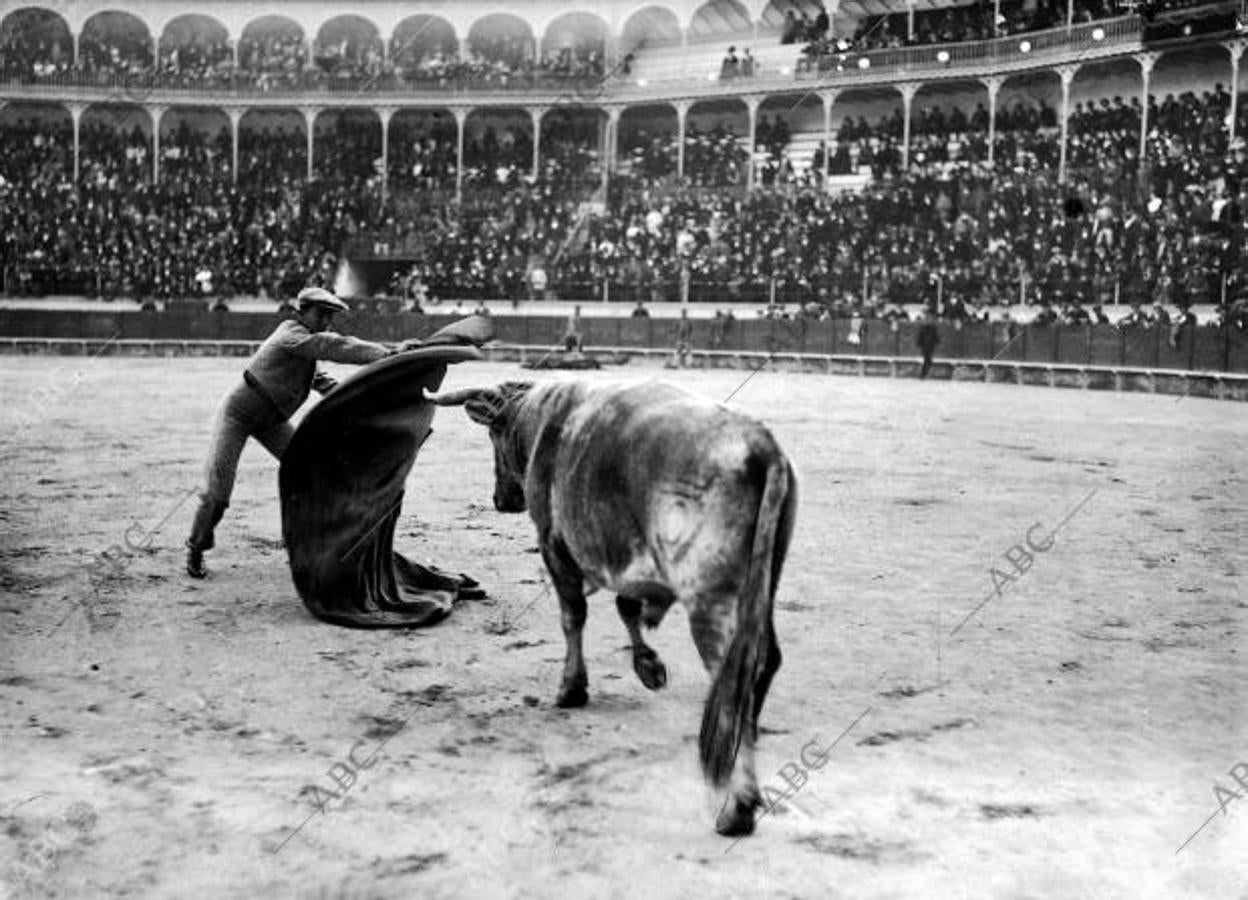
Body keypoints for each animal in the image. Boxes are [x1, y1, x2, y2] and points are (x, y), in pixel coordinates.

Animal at [431, 379, 798, 833]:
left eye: (494, 432)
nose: (501, 499)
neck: (542, 416)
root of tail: (761, 447)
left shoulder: (554, 543)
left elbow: (573, 616)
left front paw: (572, 688)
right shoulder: (627, 554)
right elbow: (627, 607)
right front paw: (648, 666)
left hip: (710, 601)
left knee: (732, 680)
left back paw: (737, 806)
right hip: (762, 588)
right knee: (763, 660)